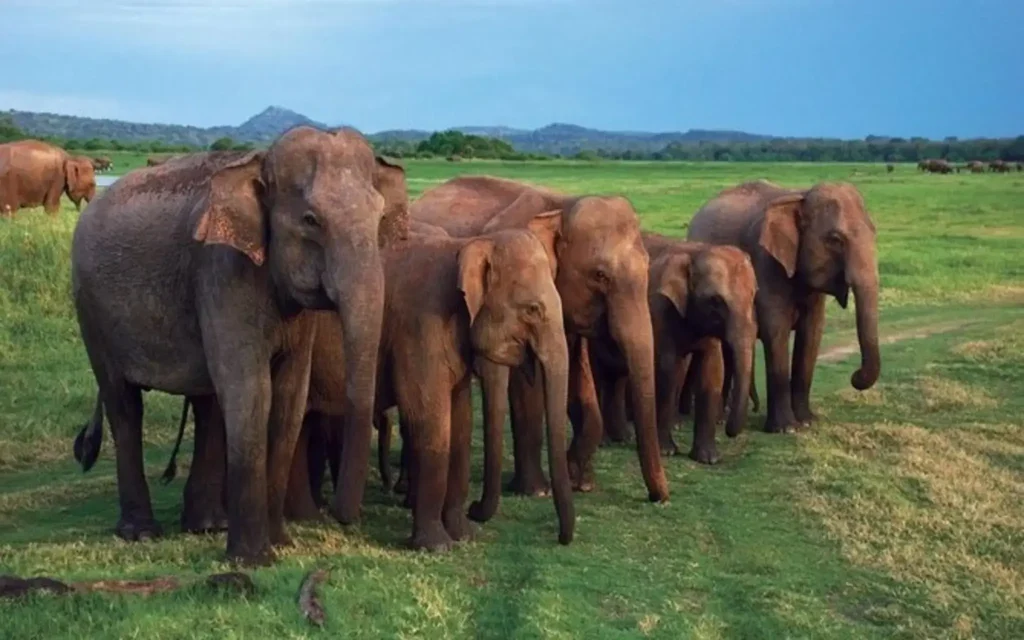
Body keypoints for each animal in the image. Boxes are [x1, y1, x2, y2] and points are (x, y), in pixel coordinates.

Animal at [69, 126, 408, 565]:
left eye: (380, 215)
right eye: (311, 220)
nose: (342, 517)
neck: (257, 162)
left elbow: (289, 399)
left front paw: (281, 544)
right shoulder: (222, 270)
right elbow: (251, 391)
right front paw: (253, 560)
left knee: (207, 403)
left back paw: (206, 525)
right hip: (91, 309)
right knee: (124, 404)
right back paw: (141, 533)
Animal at [411, 175, 670, 504]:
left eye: (648, 266)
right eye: (600, 275)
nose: (659, 498)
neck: (563, 206)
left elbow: (579, 376)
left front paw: (579, 480)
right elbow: (528, 386)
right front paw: (538, 491)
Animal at [589, 234, 758, 464]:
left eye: (754, 295)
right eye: (716, 300)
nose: (729, 431)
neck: (696, 252)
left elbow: (712, 369)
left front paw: (709, 459)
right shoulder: (658, 308)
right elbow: (666, 370)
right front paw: (667, 451)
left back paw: (622, 438)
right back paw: (604, 442)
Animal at [687, 180, 880, 434]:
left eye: (874, 232)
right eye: (835, 239)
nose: (855, 376)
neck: (801, 196)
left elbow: (812, 332)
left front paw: (808, 421)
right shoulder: (765, 261)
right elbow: (776, 330)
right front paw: (786, 429)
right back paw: (718, 419)